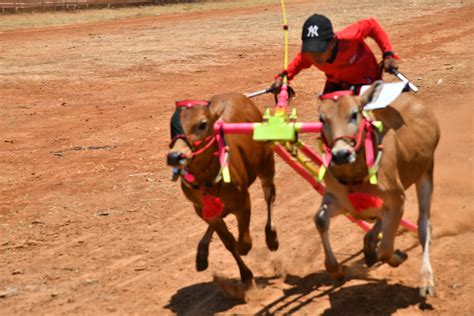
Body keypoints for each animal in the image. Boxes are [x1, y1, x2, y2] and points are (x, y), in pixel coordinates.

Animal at [167, 92, 278, 292]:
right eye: (173, 125)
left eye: (202, 124)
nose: (174, 156)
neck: (207, 178)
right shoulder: (201, 209)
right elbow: (229, 242)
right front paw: (246, 275)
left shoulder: (243, 202)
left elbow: (243, 243)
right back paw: (202, 254)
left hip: (266, 166)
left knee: (269, 195)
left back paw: (271, 237)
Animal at [314, 81, 440, 296]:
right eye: (322, 119)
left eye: (354, 113)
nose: (340, 154)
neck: (355, 174)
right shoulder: (336, 198)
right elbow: (320, 219)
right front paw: (337, 270)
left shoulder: (397, 199)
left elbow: (386, 249)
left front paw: (398, 257)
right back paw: (369, 245)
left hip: (426, 172)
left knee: (424, 225)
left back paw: (426, 279)